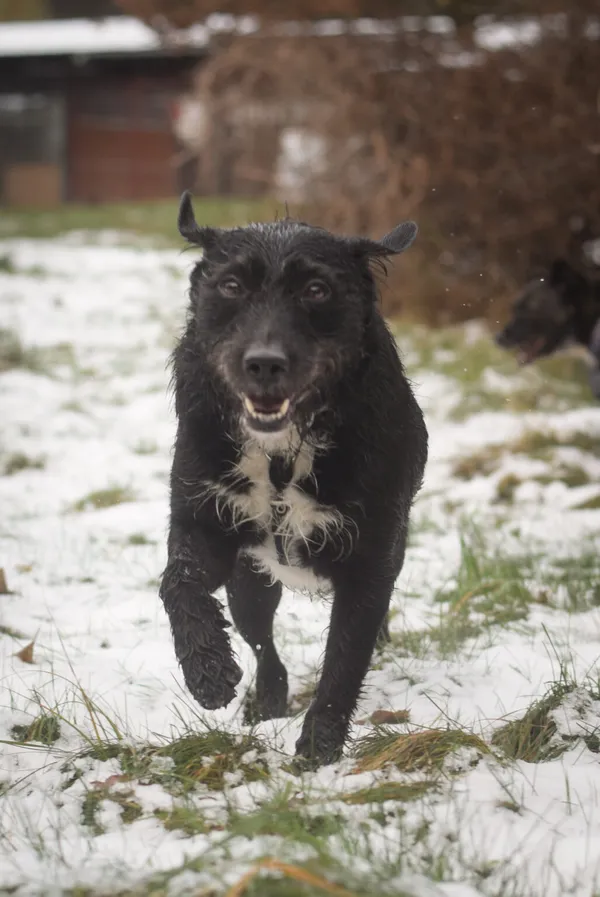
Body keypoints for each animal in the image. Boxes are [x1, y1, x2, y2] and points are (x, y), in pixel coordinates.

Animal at [161, 192, 426, 768]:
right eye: (231, 285)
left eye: (316, 289)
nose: (264, 364)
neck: (281, 454)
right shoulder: (204, 517)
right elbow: (178, 582)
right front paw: (207, 670)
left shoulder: (369, 564)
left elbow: (345, 660)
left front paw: (319, 748)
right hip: (251, 582)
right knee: (262, 642)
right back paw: (267, 697)